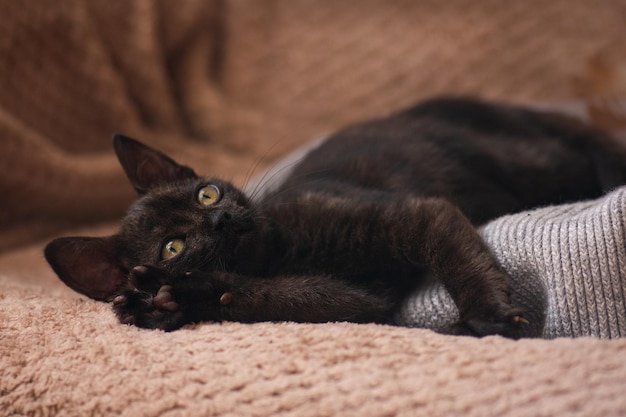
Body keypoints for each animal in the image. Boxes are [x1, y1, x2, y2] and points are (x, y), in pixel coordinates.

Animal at [44, 96, 624, 334]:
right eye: (173, 246)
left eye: (206, 195)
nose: (221, 220)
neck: (285, 251)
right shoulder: (359, 298)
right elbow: (270, 297)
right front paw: (162, 300)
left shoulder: (415, 214)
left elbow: (463, 262)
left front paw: (490, 316)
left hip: (529, 161)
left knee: (587, 145)